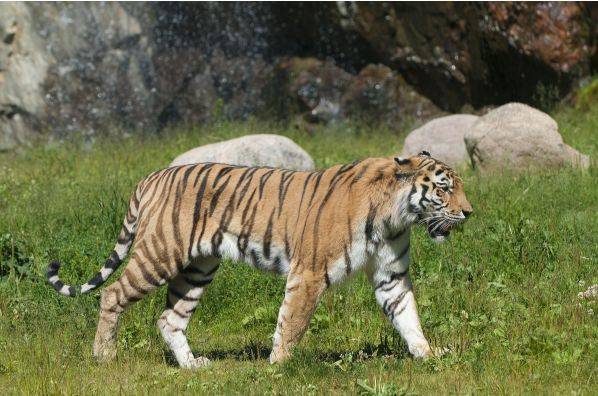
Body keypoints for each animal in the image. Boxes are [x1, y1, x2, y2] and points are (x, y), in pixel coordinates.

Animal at [47, 151, 474, 368]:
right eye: (443, 188)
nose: (469, 212)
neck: (396, 216)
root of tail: (150, 178)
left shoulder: (391, 275)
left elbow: (408, 316)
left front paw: (428, 355)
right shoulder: (309, 274)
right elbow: (292, 323)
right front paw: (278, 368)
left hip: (198, 268)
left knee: (169, 318)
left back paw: (193, 366)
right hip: (160, 253)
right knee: (112, 294)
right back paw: (104, 356)